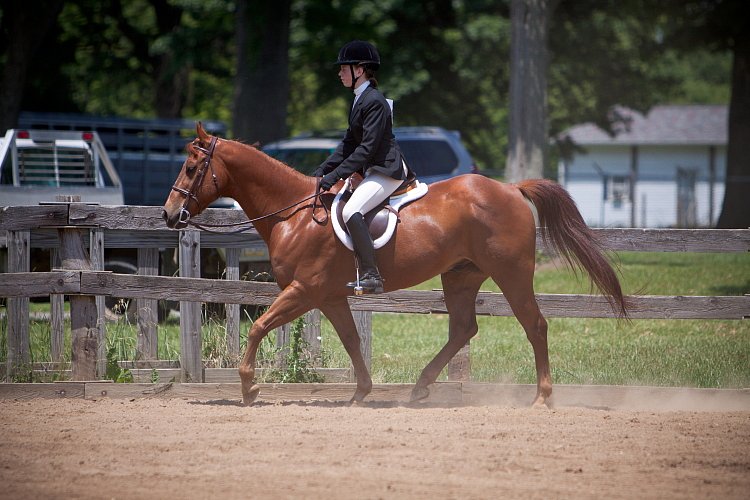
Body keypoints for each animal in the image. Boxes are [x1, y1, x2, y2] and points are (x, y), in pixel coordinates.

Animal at [163, 124, 628, 406]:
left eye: (191, 167)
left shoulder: (303, 291)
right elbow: (351, 341)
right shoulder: (328, 297)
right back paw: (420, 388)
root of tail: (511, 189)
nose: (169, 215)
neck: (293, 214)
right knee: (463, 330)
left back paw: (542, 396)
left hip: (511, 274)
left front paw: (249, 387)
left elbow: (259, 326)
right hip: (460, 276)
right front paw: (360, 393)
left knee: (535, 325)